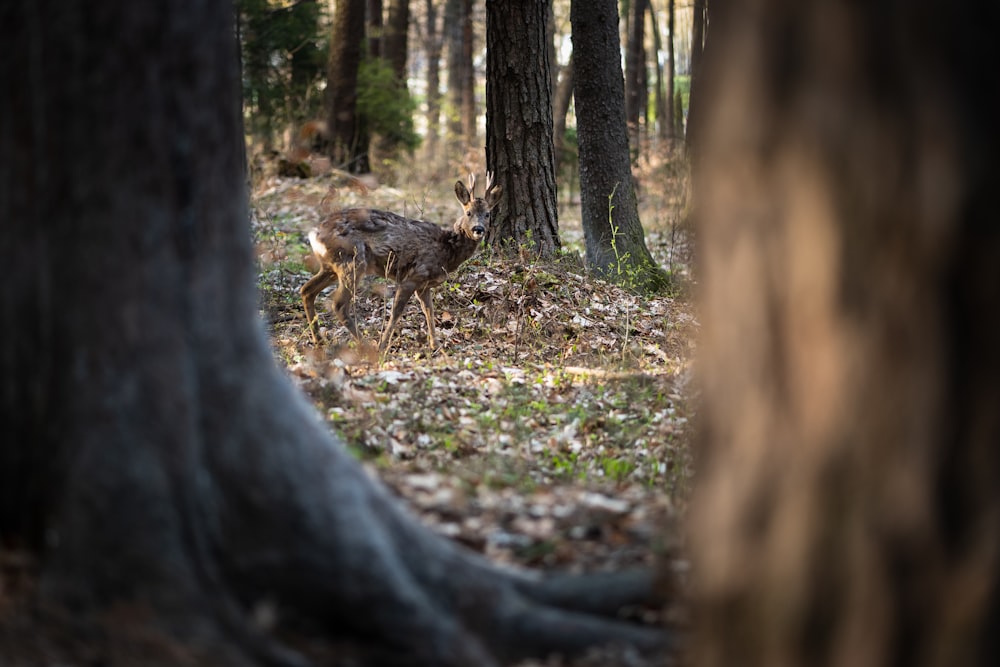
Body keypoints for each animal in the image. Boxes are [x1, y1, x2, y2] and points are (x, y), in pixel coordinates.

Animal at [296, 171, 500, 354]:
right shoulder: (413, 276)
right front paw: (382, 345)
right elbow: (396, 311)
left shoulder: (424, 285)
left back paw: (319, 341)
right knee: (338, 304)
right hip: (353, 261)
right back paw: (366, 346)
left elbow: (429, 311)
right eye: (468, 212)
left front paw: (436, 345)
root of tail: (314, 233)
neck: (446, 250)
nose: (478, 229)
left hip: (330, 266)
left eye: (488, 214)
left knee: (306, 290)